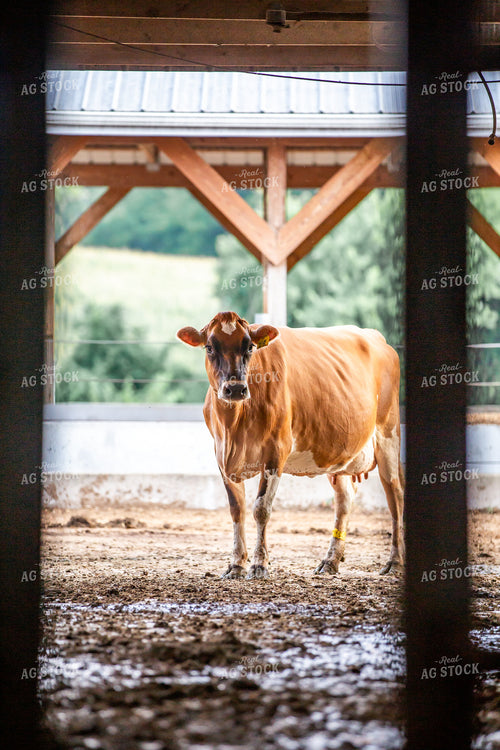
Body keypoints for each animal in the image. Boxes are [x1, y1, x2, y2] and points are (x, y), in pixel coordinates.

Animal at [177, 311, 404, 580]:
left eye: (250, 347)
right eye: (210, 347)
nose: (235, 389)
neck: (234, 426)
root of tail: (378, 338)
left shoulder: (276, 452)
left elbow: (261, 509)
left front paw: (259, 564)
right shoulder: (222, 457)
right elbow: (236, 509)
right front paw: (236, 565)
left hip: (388, 434)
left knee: (395, 495)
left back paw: (395, 562)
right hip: (338, 455)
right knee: (344, 500)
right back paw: (330, 561)